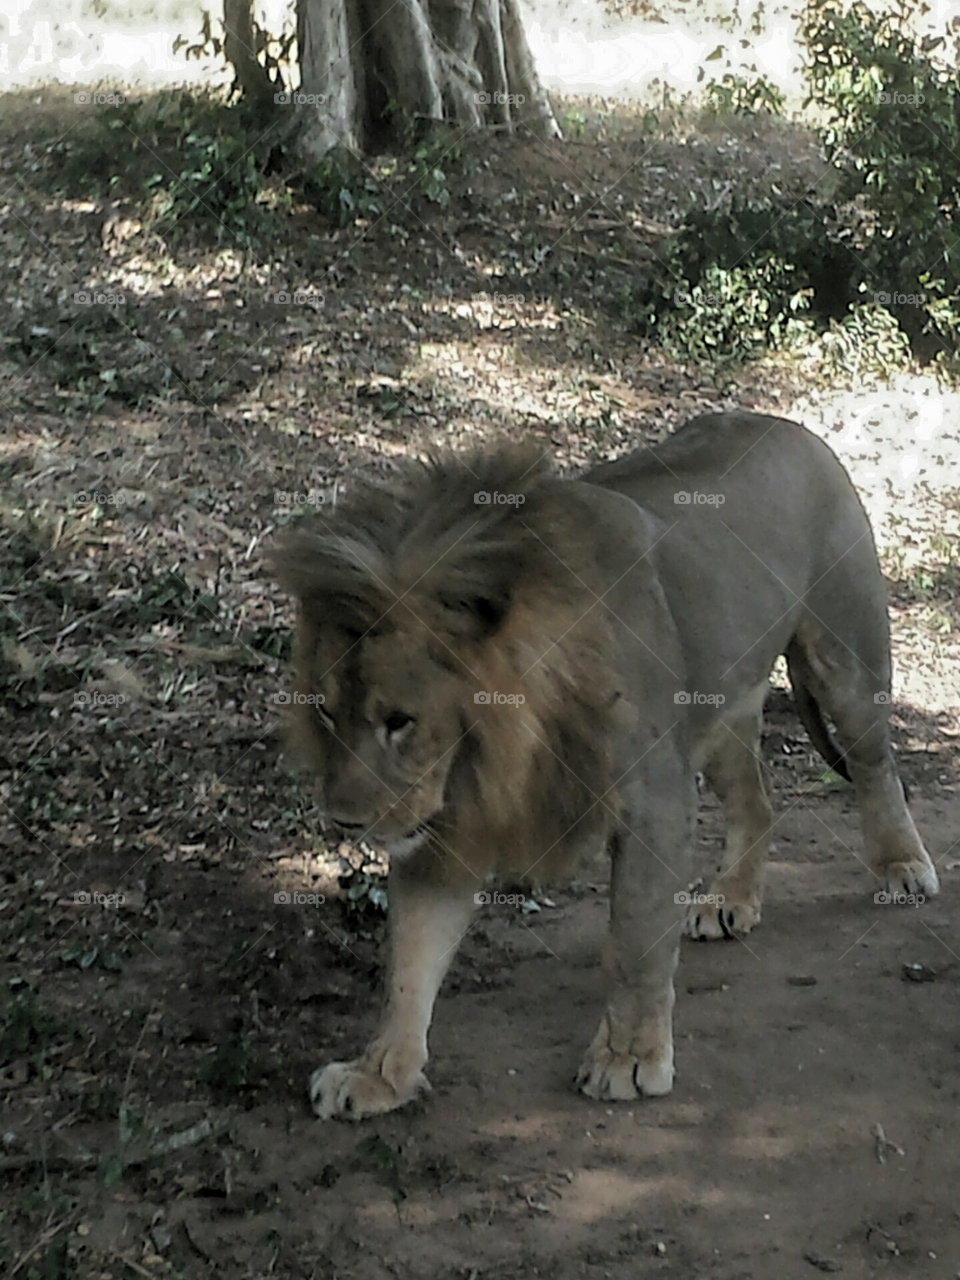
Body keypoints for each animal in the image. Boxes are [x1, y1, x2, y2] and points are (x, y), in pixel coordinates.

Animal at [272, 412, 942, 1121]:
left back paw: (902, 867)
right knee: (757, 799)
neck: (498, 752)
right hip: (716, 714)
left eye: (399, 720)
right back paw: (730, 899)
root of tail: (786, 423)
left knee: (876, 766)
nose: (344, 822)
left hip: (846, 663)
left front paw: (628, 1058)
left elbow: (635, 941)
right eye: (325, 713)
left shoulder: (654, 801)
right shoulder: (447, 831)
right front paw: (376, 1075)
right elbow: (409, 962)